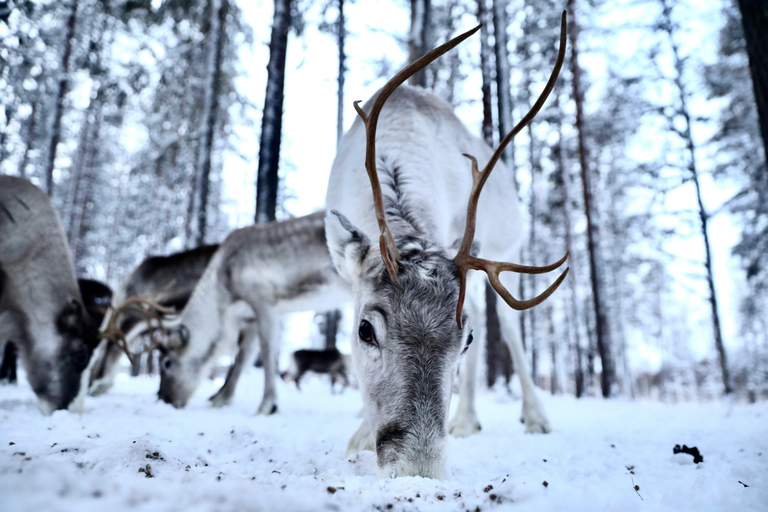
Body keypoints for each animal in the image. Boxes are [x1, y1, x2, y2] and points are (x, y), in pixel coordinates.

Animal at [154, 210, 352, 413]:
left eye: (166, 363)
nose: (164, 399)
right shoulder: (250, 318)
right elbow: (243, 356)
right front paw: (221, 398)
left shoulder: (264, 300)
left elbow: (267, 351)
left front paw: (267, 405)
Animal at [324, 14, 569, 477]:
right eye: (364, 329)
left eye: (464, 339)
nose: (419, 472)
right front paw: (359, 434)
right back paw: (467, 419)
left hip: (507, 252)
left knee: (508, 328)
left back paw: (532, 416)